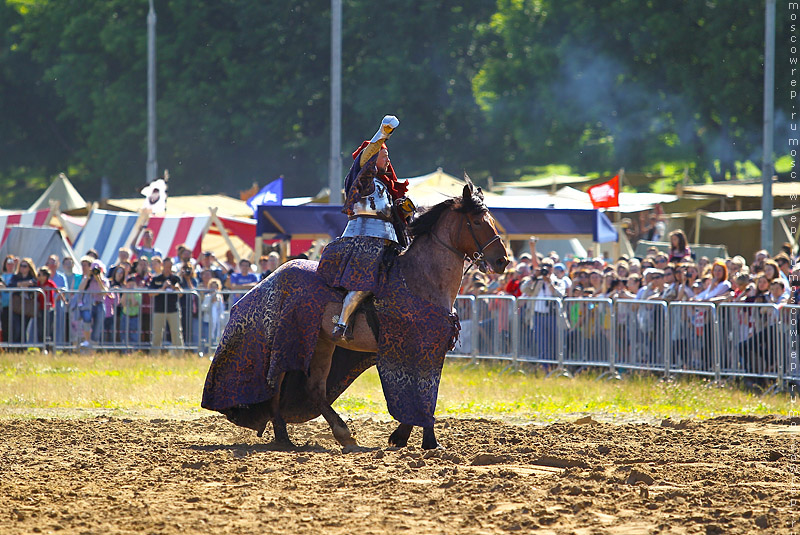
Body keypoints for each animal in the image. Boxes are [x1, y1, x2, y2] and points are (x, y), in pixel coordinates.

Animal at [203, 181, 510, 452]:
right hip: (286, 345)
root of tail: (269, 277)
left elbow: (418, 395)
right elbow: (422, 396)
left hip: (322, 345)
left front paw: (402, 437)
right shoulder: (418, 350)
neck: (420, 279)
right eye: (478, 221)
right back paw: (292, 437)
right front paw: (428, 442)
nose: (502, 261)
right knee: (275, 386)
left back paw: (329, 435)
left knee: (313, 389)